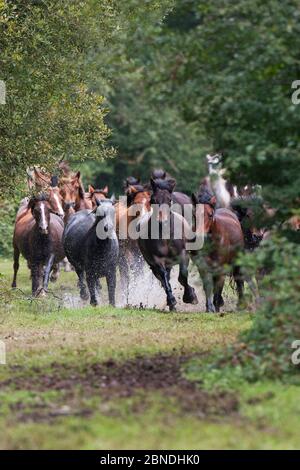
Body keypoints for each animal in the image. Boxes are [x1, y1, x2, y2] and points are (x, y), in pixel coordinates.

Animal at [138, 178, 197, 310]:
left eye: (169, 199)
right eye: (153, 200)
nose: (162, 221)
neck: (165, 236)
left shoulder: (183, 254)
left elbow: (183, 276)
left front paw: (190, 296)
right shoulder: (157, 260)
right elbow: (164, 278)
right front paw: (172, 301)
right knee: (163, 279)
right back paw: (170, 303)